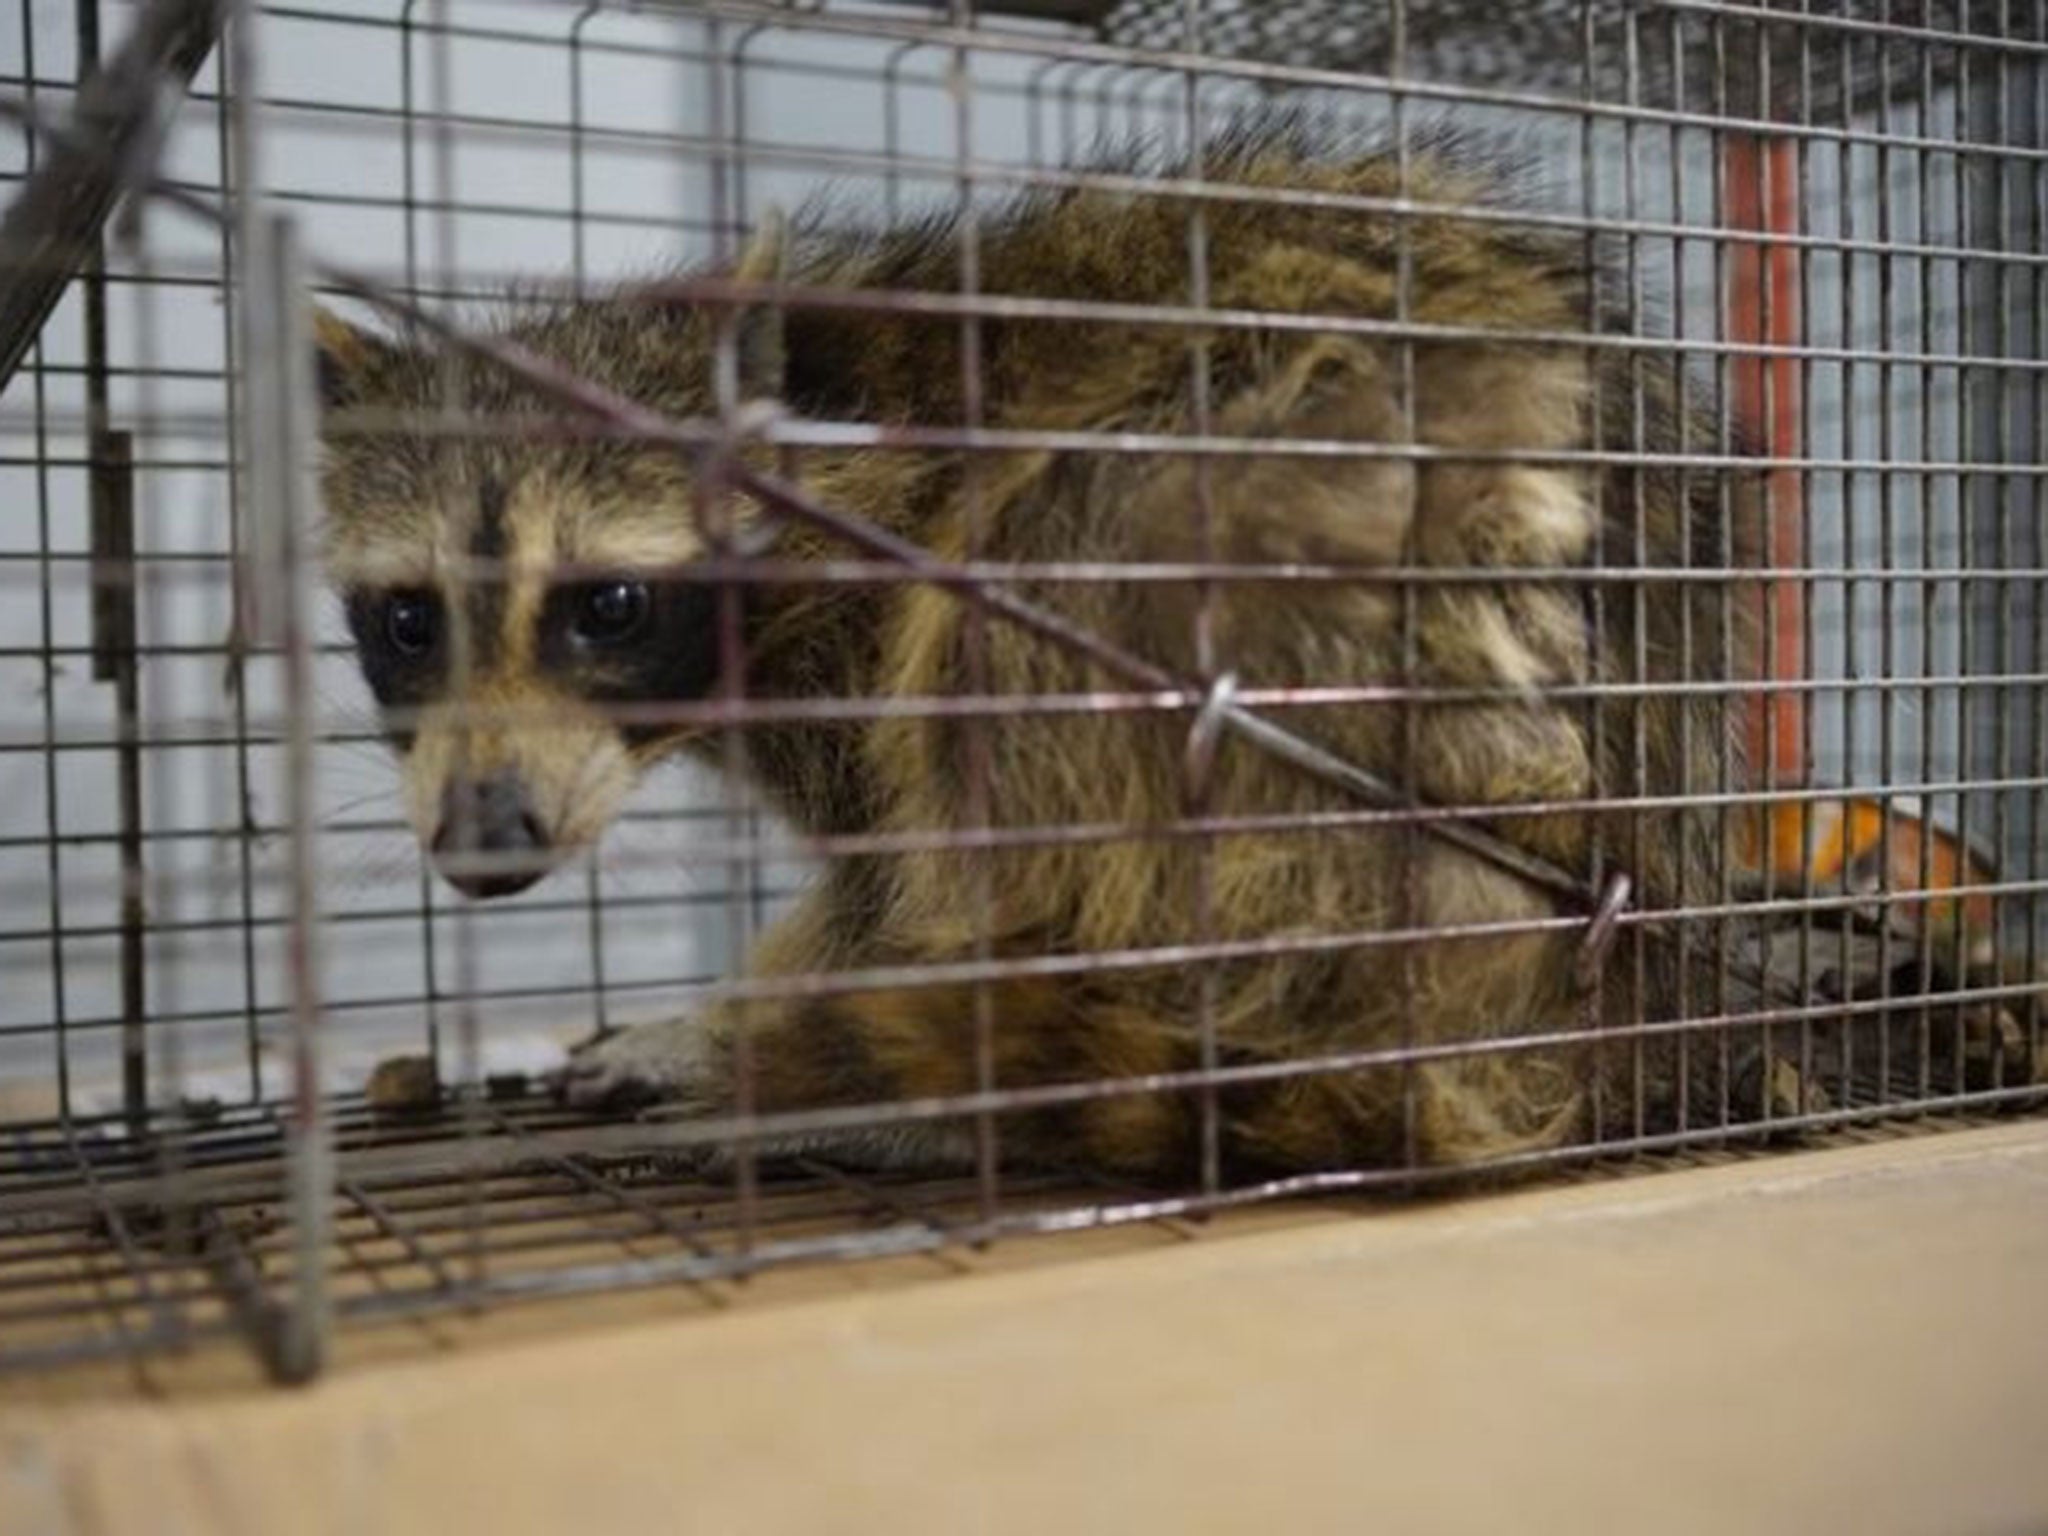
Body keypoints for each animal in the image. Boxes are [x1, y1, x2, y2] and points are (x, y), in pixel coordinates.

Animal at [319, 123, 1744, 1179]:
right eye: (408, 621)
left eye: (606, 606)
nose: (486, 836)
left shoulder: (876, 595)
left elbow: (894, 880)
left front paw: (737, 1025)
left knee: (1041, 583)